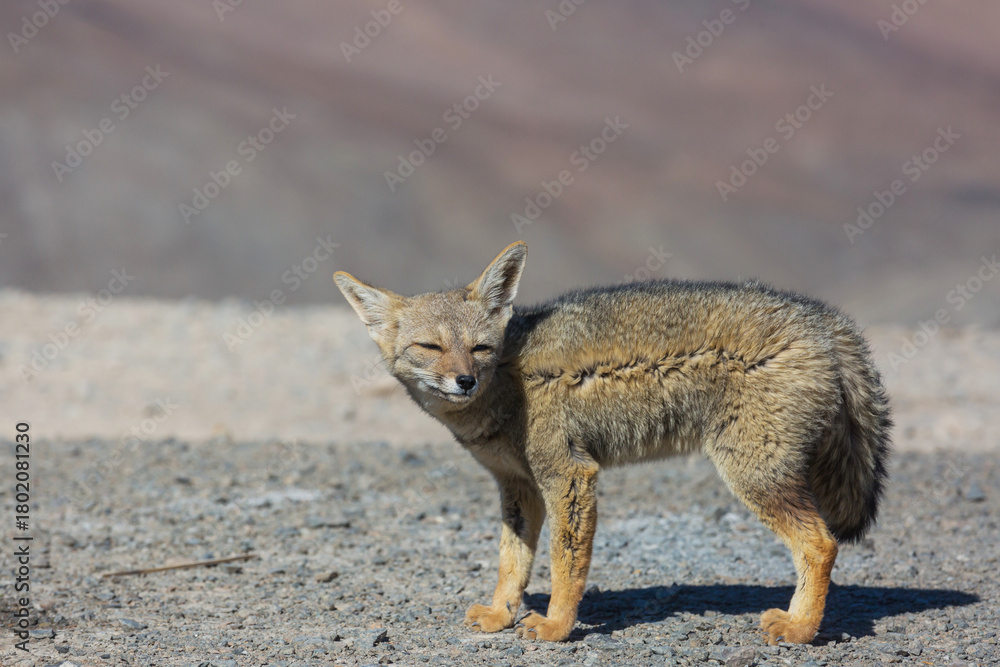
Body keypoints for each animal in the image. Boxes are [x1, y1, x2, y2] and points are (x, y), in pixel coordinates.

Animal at [334, 241, 891, 644]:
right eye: (429, 347)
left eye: (479, 348)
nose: (465, 381)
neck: (508, 379)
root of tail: (822, 318)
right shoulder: (518, 486)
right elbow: (512, 560)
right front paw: (500, 613)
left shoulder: (569, 474)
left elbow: (565, 561)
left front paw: (556, 627)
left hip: (752, 473)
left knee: (820, 543)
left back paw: (800, 628)